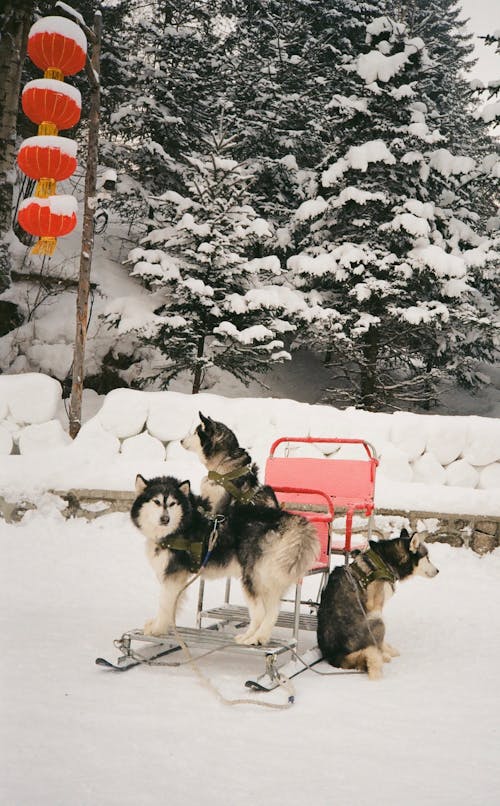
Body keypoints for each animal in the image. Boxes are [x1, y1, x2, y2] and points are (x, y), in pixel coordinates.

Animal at [129, 476, 316, 648]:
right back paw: (260, 637)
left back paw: (249, 638)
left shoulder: (172, 575)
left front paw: (157, 628)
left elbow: (164, 604)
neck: (182, 524)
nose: (165, 519)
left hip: (252, 579)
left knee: (260, 613)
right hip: (269, 580)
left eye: (172, 503)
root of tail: (281, 517)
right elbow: (171, 605)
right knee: (272, 612)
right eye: (156, 502)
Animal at [316, 532, 438, 680]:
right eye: (427, 557)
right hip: (379, 622)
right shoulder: (375, 608)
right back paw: (382, 657)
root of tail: (335, 656)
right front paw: (386, 652)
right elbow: (380, 643)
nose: (438, 570)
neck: (384, 562)